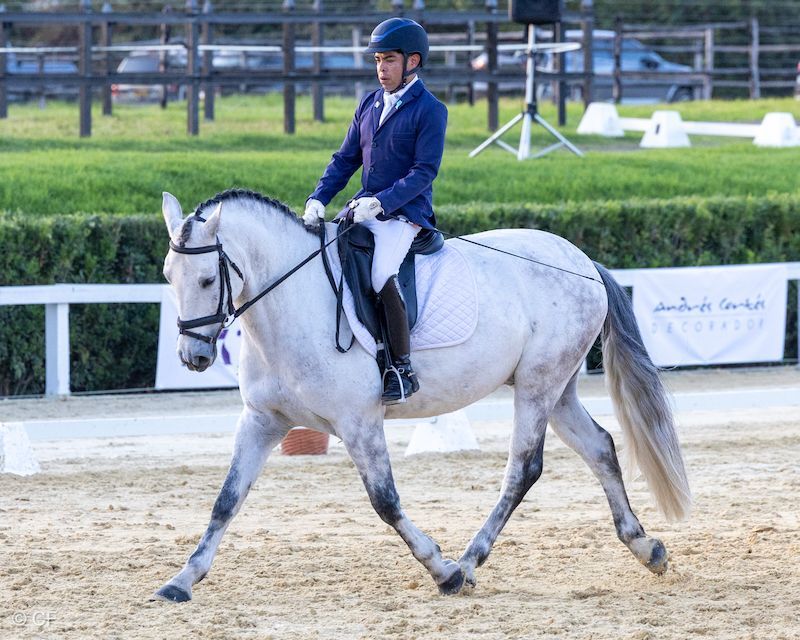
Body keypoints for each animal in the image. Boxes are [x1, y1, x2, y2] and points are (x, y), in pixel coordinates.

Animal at [155, 188, 691, 602]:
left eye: (207, 279)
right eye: (167, 277)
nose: (193, 356)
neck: (291, 304)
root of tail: (584, 263)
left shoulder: (358, 422)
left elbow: (385, 502)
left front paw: (443, 570)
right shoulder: (262, 421)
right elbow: (226, 500)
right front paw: (182, 580)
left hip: (538, 385)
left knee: (523, 469)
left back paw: (469, 562)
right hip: (557, 389)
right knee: (600, 447)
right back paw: (646, 548)